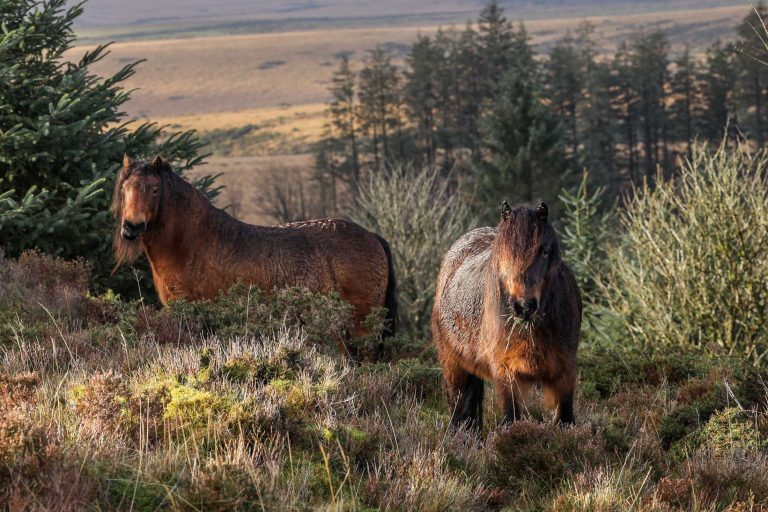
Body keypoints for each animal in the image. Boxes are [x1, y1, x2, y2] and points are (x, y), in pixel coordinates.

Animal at [112, 154, 398, 339]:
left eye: (155, 189)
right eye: (124, 189)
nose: (132, 227)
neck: (191, 243)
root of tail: (372, 236)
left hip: (362, 327)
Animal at [431, 201, 581, 430]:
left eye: (545, 250)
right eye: (503, 251)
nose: (524, 306)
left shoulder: (565, 374)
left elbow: (566, 420)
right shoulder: (506, 374)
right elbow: (510, 421)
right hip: (454, 366)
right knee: (460, 411)